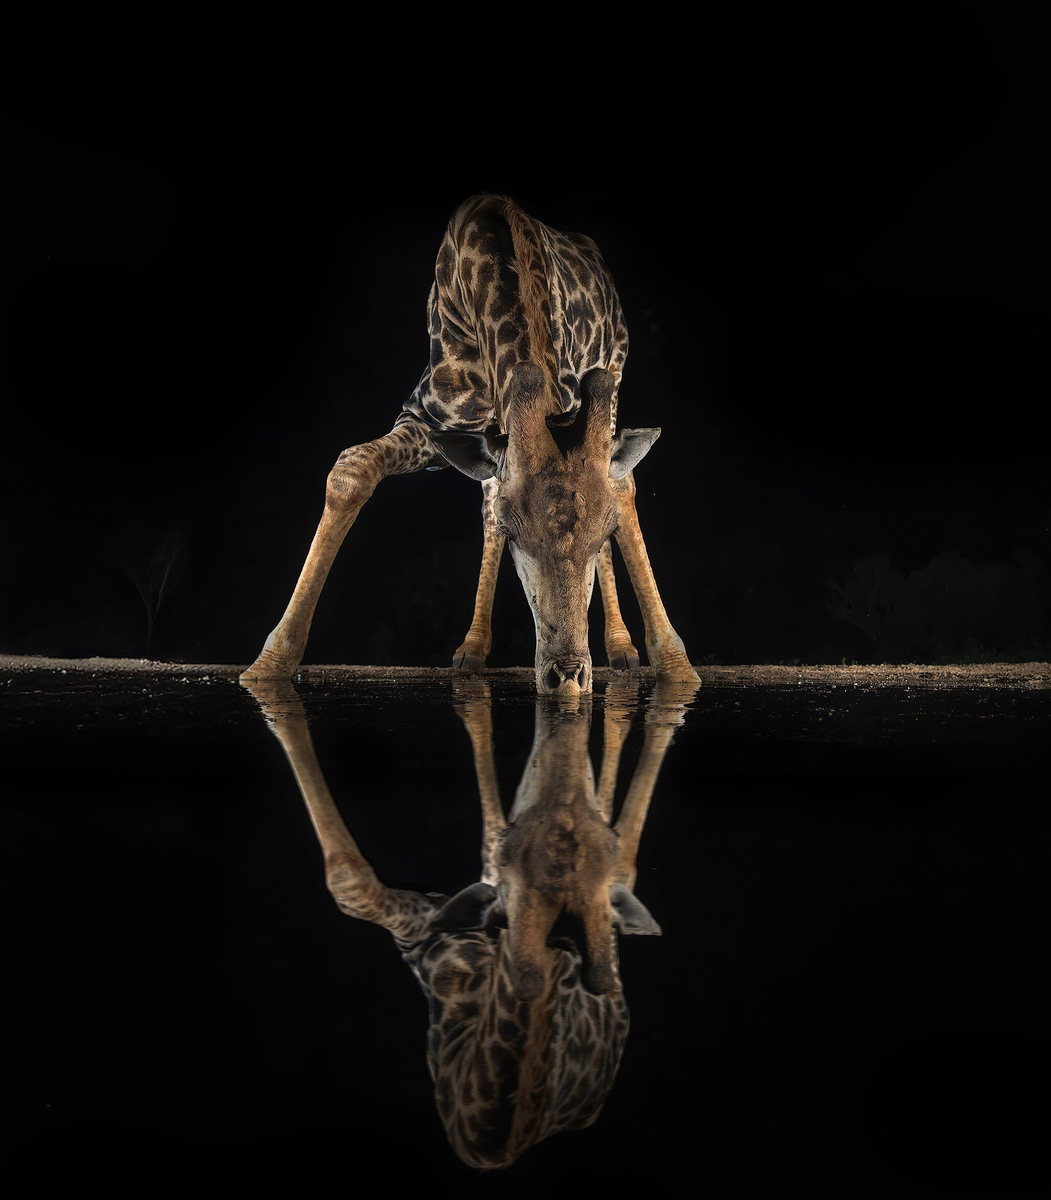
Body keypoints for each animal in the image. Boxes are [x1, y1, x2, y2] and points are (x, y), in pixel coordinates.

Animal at [241, 195, 698, 697]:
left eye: (604, 532)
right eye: (516, 533)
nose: (568, 676)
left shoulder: (576, 410)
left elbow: (615, 497)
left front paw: (677, 669)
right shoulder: (431, 418)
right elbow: (354, 466)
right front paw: (267, 665)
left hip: (611, 376)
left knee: (621, 482)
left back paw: (622, 648)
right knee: (489, 499)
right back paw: (473, 651)